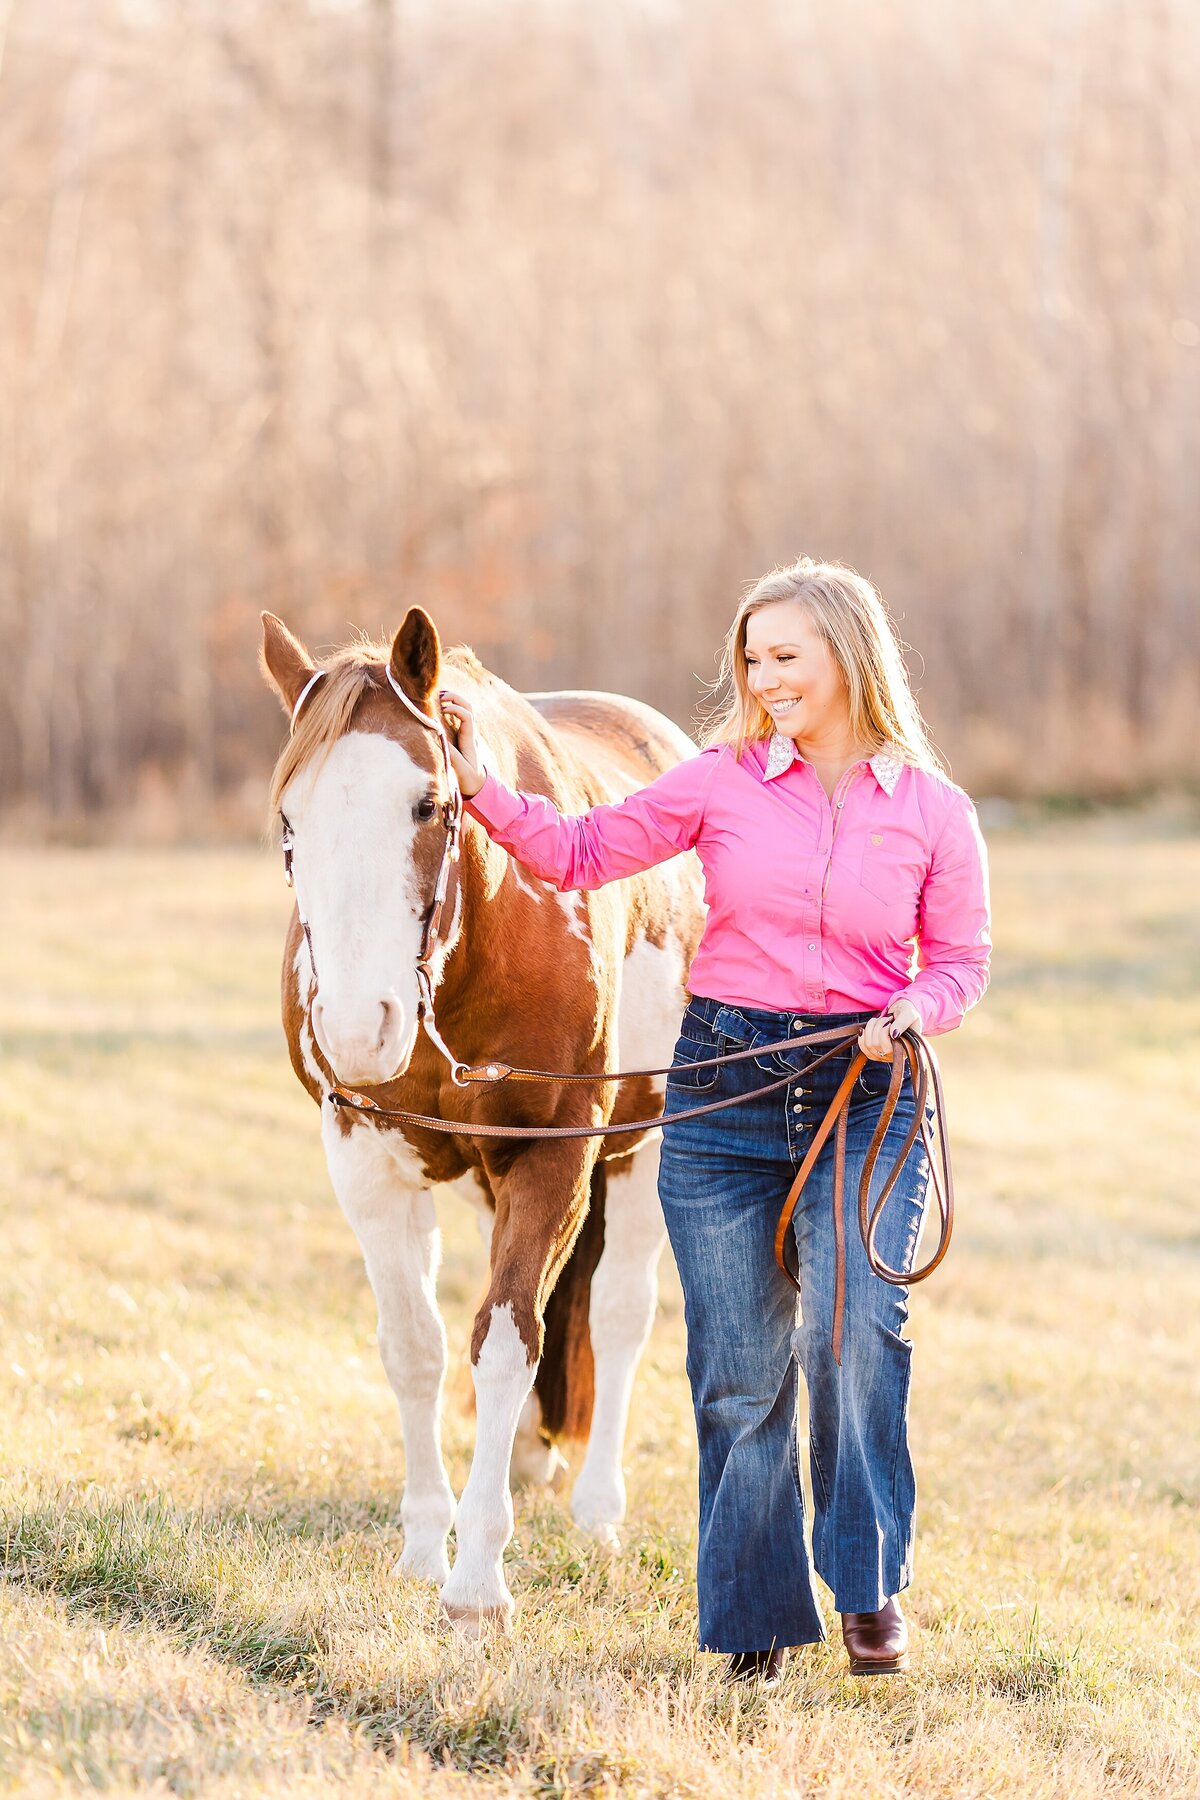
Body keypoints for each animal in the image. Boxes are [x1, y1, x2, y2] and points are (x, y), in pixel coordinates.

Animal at [255, 608, 705, 1634]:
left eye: (429, 805)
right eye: (291, 820)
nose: (355, 1026)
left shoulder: (552, 1161)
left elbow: (505, 1342)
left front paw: (477, 1581)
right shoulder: (367, 1163)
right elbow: (415, 1348)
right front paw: (427, 1547)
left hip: (645, 1147)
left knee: (618, 1314)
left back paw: (597, 1510)